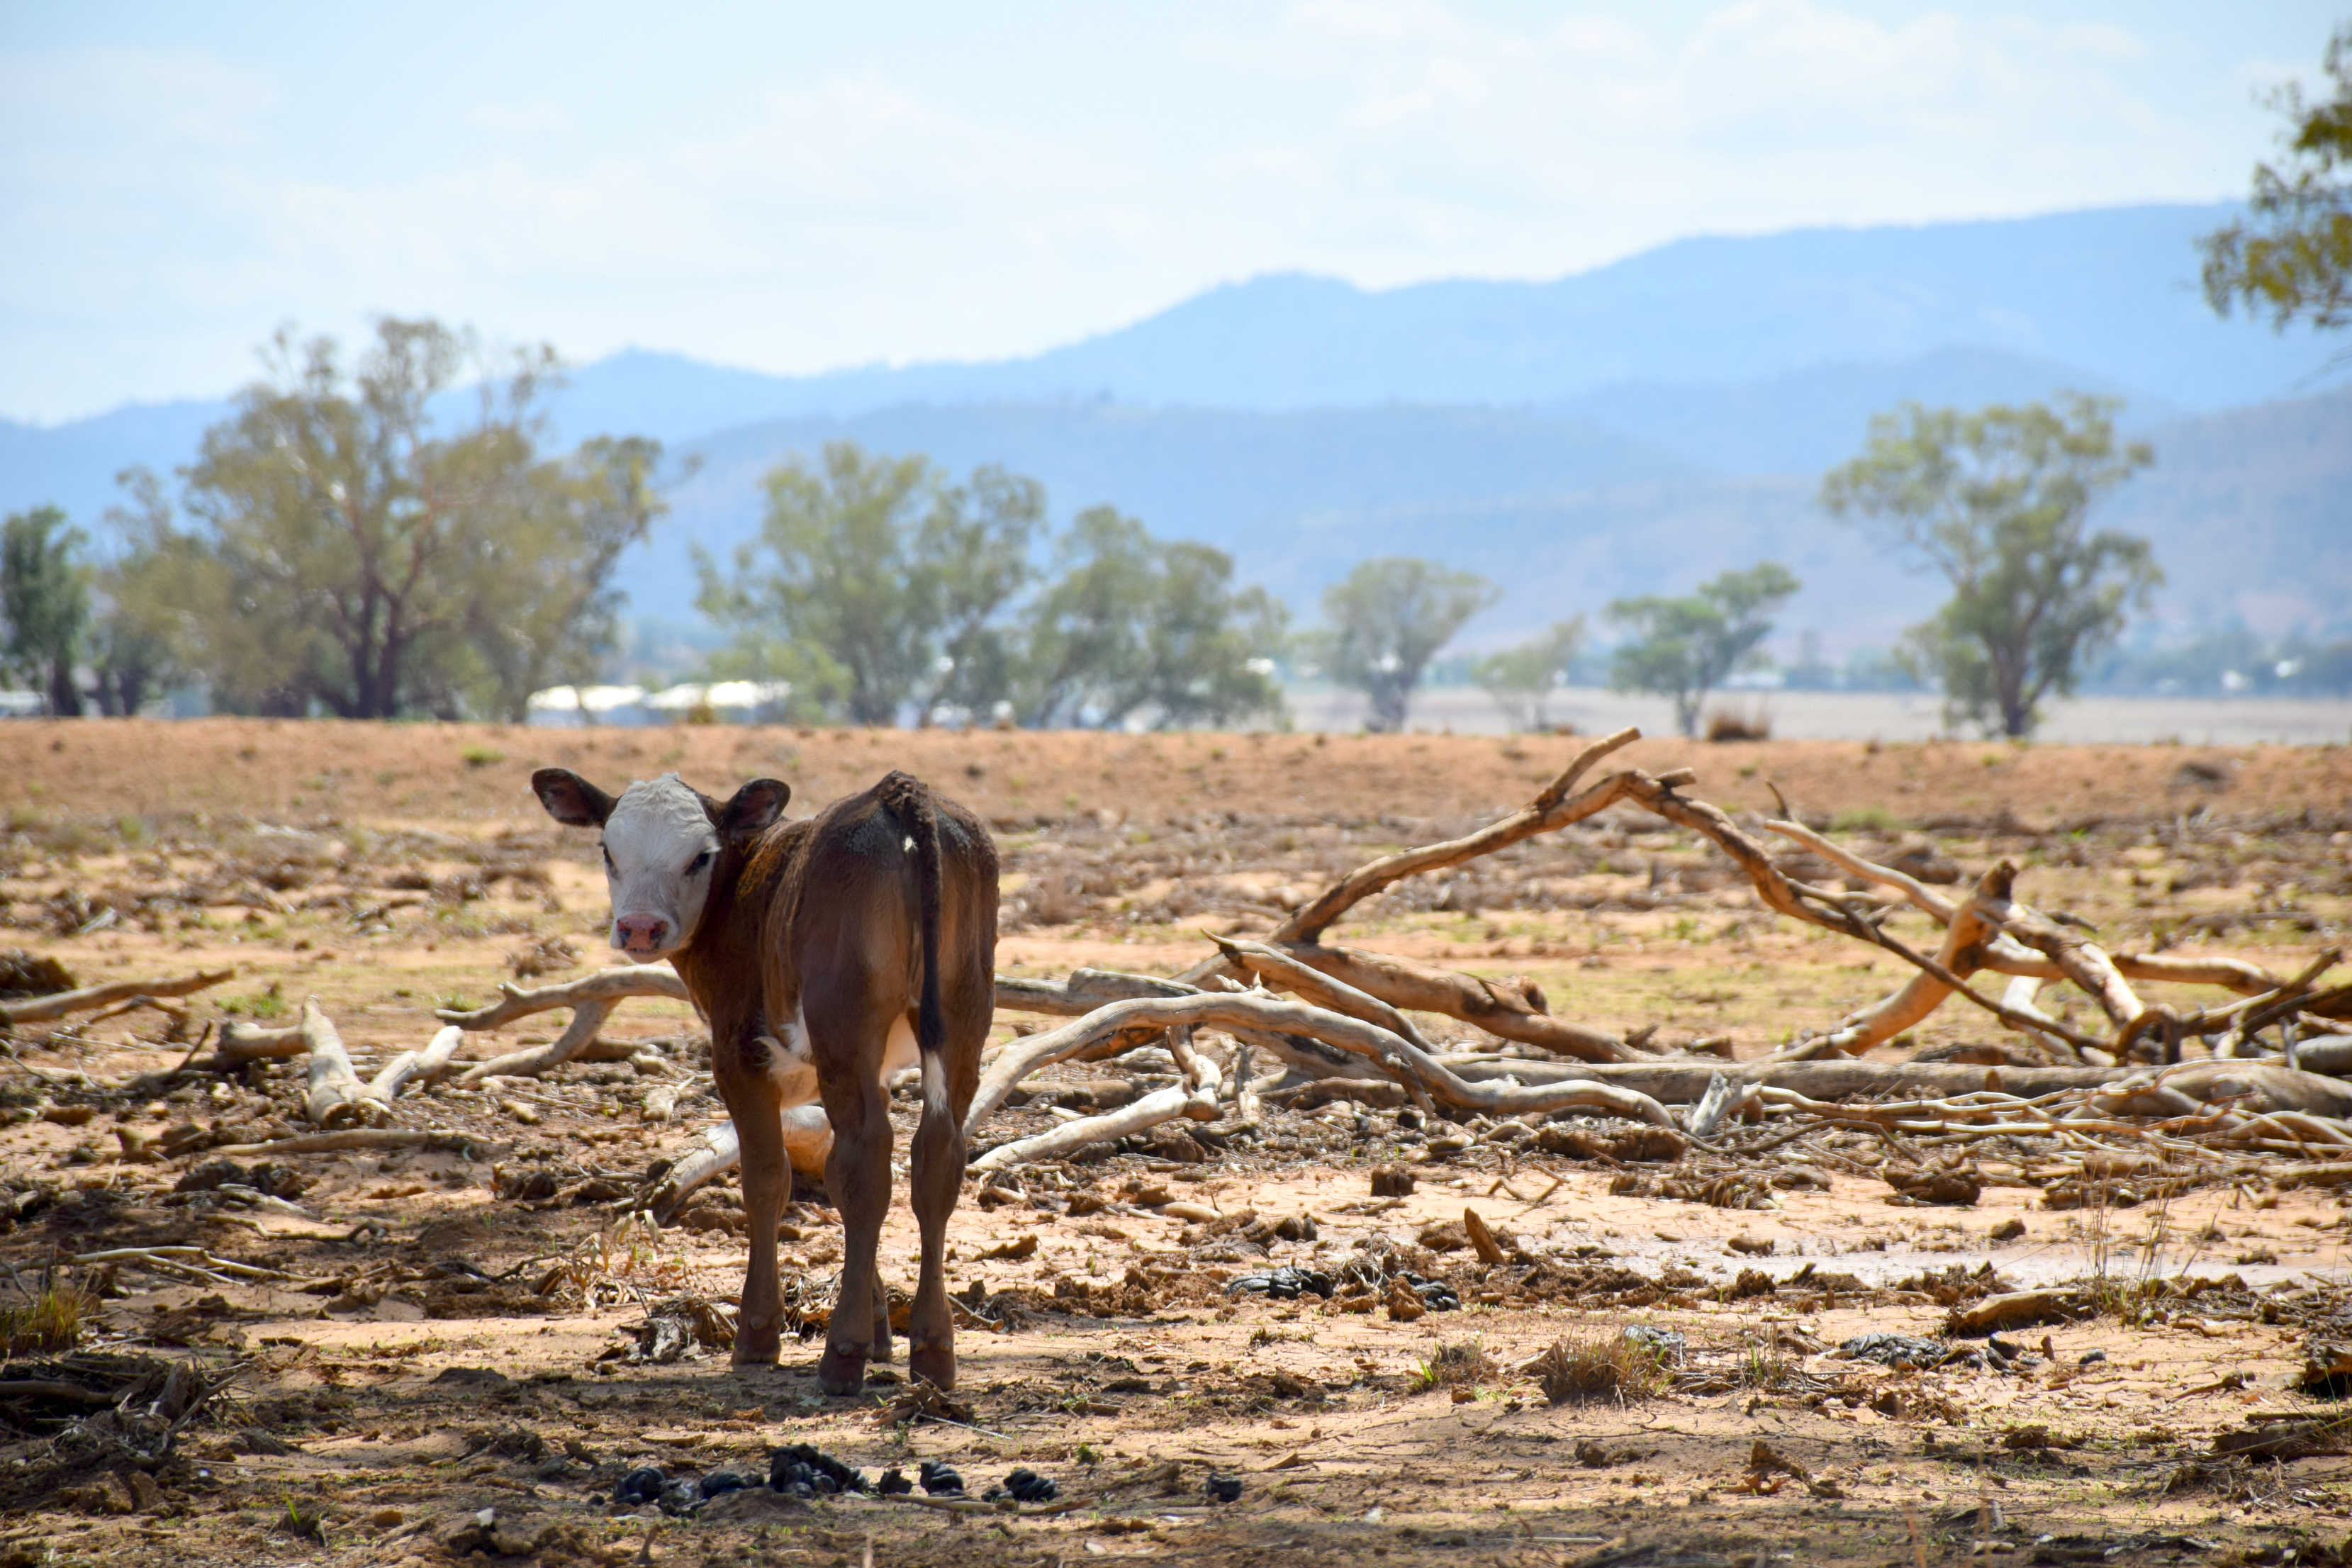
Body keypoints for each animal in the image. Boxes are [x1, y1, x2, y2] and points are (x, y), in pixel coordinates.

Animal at [529, 766, 998, 1395]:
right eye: (608, 849)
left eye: (700, 857)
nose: (640, 928)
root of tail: (899, 797)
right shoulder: (862, 1071)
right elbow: (833, 1178)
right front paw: (880, 1329)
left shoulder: (738, 1058)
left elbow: (768, 1181)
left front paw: (758, 1333)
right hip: (961, 1014)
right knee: (931, 1158)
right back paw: (932, 1347)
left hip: (844, 1018)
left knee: (866, 1160)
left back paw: (842, 1353)